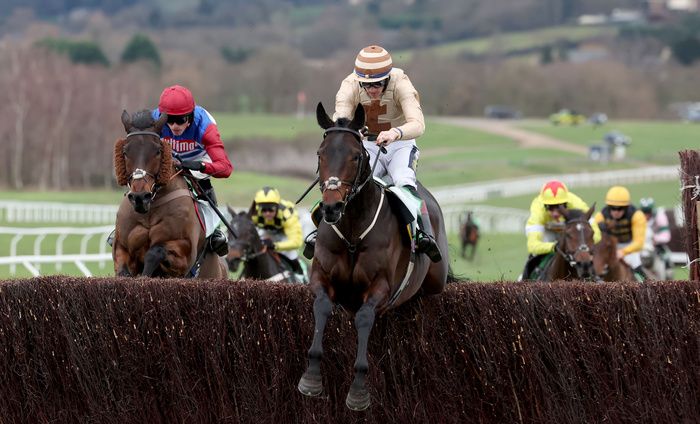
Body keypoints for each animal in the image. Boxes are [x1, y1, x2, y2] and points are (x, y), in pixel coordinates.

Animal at [113, 109, 227, 278]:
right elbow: (123, 271)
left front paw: (145, 275)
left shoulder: (185, 252)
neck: (149, 211)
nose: (140, 197)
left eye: (158, 151)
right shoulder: (122, 247)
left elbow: (155, 251)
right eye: (126, 152)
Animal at [298, 102, 452, 410]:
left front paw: (358, 391)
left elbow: (364, 318)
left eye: (356, 156)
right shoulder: (321, 276)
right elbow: (322, 307)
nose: (332, 207)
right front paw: (311, 378)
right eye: (321, 154)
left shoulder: (380, 287)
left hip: (435, 280)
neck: (353, 232)